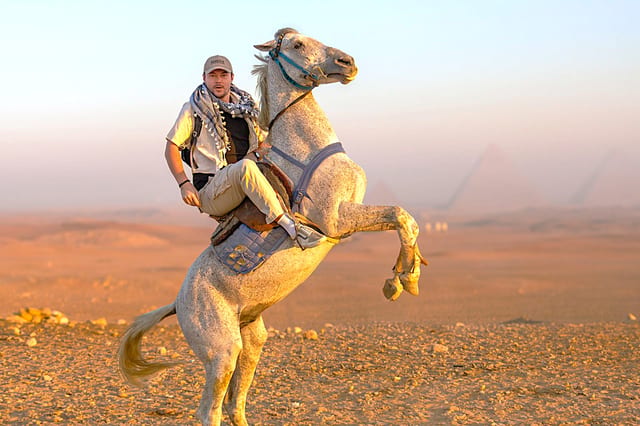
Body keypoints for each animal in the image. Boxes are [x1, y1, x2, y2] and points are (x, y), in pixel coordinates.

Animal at [118, 28, 427, 426]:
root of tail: (178, 302)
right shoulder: (337, 220)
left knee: (235, 403)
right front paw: (402, 282)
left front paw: (404, 277)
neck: (305, 151)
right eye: (297, 45)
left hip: (252, 340)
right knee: (210, 410)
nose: (347, 62)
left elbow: (407, 222)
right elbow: (400, 216)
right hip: (222, 352)